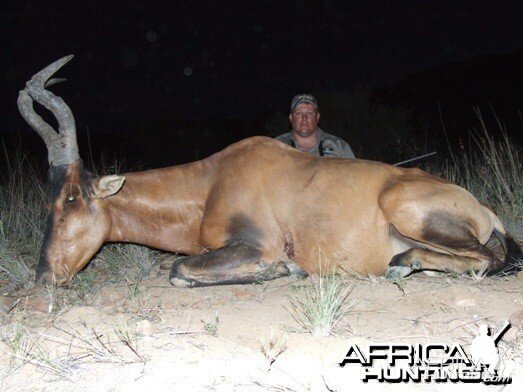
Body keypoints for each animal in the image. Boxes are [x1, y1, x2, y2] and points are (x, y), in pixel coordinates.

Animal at [18, 56, 520, 286]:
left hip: (405, 208)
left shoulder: (256, 244)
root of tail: (486, 210)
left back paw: (404, 265)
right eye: (47, 202)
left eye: (71, 199)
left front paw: (287, 270)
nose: (44, 278)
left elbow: (179, 269)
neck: (212, 181)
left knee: (489, 258)